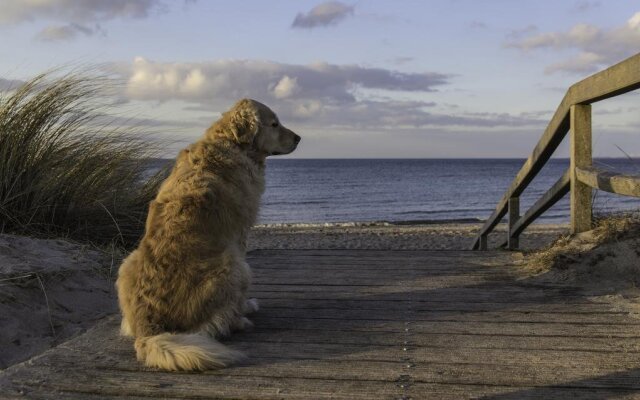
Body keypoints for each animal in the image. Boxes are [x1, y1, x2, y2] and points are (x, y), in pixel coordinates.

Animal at [116, 99, 302, 372]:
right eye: (274, 124)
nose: (299, 138)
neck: (231, 143)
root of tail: (148, 329)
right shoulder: (240, 236)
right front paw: (245, 306)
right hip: (236, 267)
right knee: (215, 325)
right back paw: (239, 319)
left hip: (126, 261)